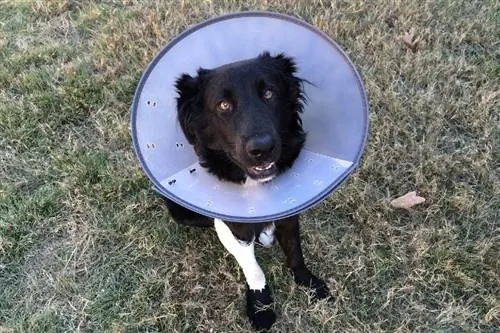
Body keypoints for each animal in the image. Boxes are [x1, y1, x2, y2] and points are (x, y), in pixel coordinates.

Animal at [164, 52, 328, 330]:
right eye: (223, 105)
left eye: (269, 93)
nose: (262, 148)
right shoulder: (235, 225)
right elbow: (252, 266)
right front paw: (261, 306)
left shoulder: (289, 208)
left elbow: (295, 250)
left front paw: (307, 281)